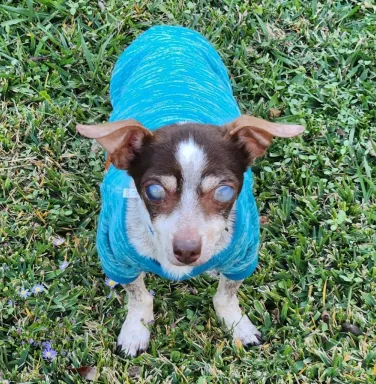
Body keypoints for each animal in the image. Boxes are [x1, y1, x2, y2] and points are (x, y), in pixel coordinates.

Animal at [76, 26, 302, 356]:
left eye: (224, 193)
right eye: (154, 191)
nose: (186, 251)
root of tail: (167, 29)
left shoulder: (242, 258)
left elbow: (226, 295)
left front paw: (237, 324)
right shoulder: (119, 258)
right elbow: (138, 296)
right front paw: (135, 330)